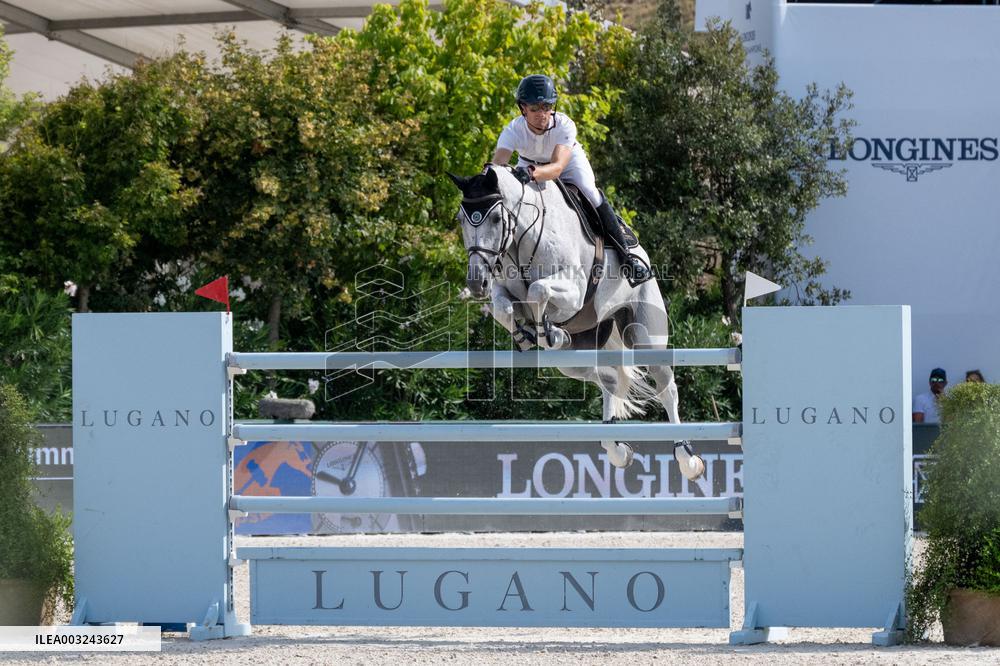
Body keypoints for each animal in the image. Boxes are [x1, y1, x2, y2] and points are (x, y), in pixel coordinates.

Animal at [448, 164, 705, 481]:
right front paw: (527, 334)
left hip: (645, 336)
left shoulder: (574, 290)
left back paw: (687, 459)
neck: (522, 238)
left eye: (496, 218)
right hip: (573, 359)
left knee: (666, 388)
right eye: (461, 219)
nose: (476, 284)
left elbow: (538, 291)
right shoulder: (502, 290)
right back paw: (617, 449)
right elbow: (503, 307)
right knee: (610, 378)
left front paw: (545, 331)